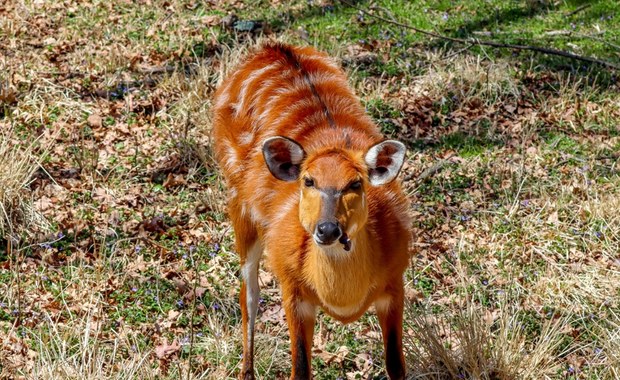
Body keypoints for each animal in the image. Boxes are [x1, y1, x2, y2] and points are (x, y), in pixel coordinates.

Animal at [213, 43, 412, 378]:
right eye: (308, 180)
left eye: (355, 183)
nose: (328, 229)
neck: (342, 299)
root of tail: (271, 48)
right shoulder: (293, 290)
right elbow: (301, 368)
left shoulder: (395, 282)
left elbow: (396, 365)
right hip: (239, 206)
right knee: (248, 293)